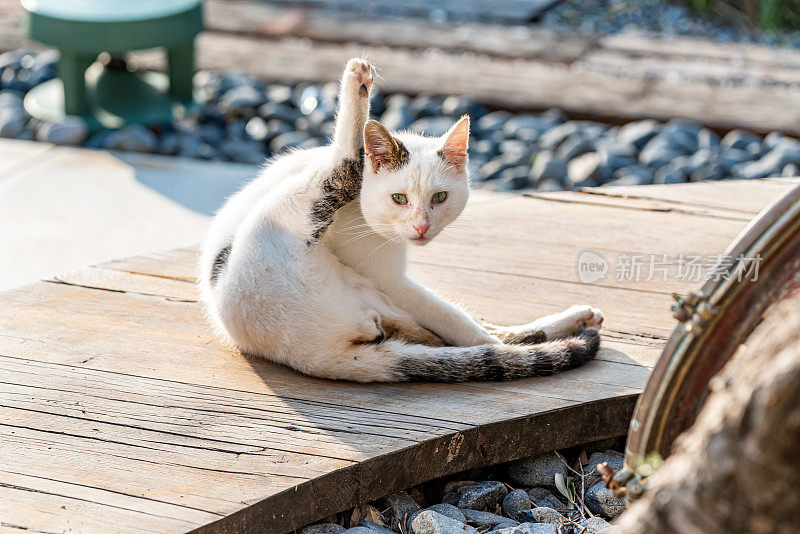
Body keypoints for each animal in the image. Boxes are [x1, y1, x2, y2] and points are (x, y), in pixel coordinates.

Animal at [198, 58, 600, 384]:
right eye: (399, 199)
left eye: (440, 198)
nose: (421, 227)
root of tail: (316, 355)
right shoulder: (388, 277)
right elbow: (460, 324)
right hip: (287, 217)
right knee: (346, 164)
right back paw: (357, 80)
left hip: (374, 298)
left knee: (464, 333)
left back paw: (574, 320)